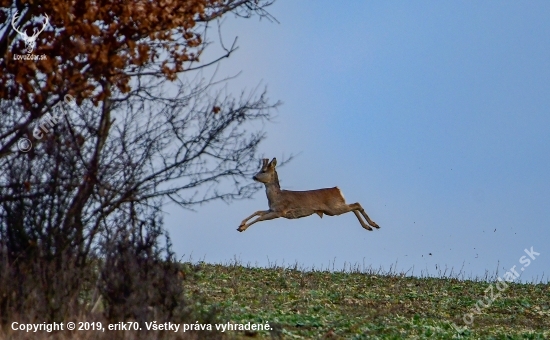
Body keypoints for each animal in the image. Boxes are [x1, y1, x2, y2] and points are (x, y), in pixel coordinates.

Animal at [239, 158, 382, 232]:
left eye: (263, 171)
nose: (254, 177)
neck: (276, 196)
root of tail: (338, 190)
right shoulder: (272, 209)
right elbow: (258, 211)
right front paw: (240, 225)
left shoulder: (280, 211)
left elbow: (260, 218)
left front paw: (242, 228)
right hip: (333, 209)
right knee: (353, 206)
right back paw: (369, 227)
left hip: (333, 208)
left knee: (356, 204)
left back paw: (373, 225)